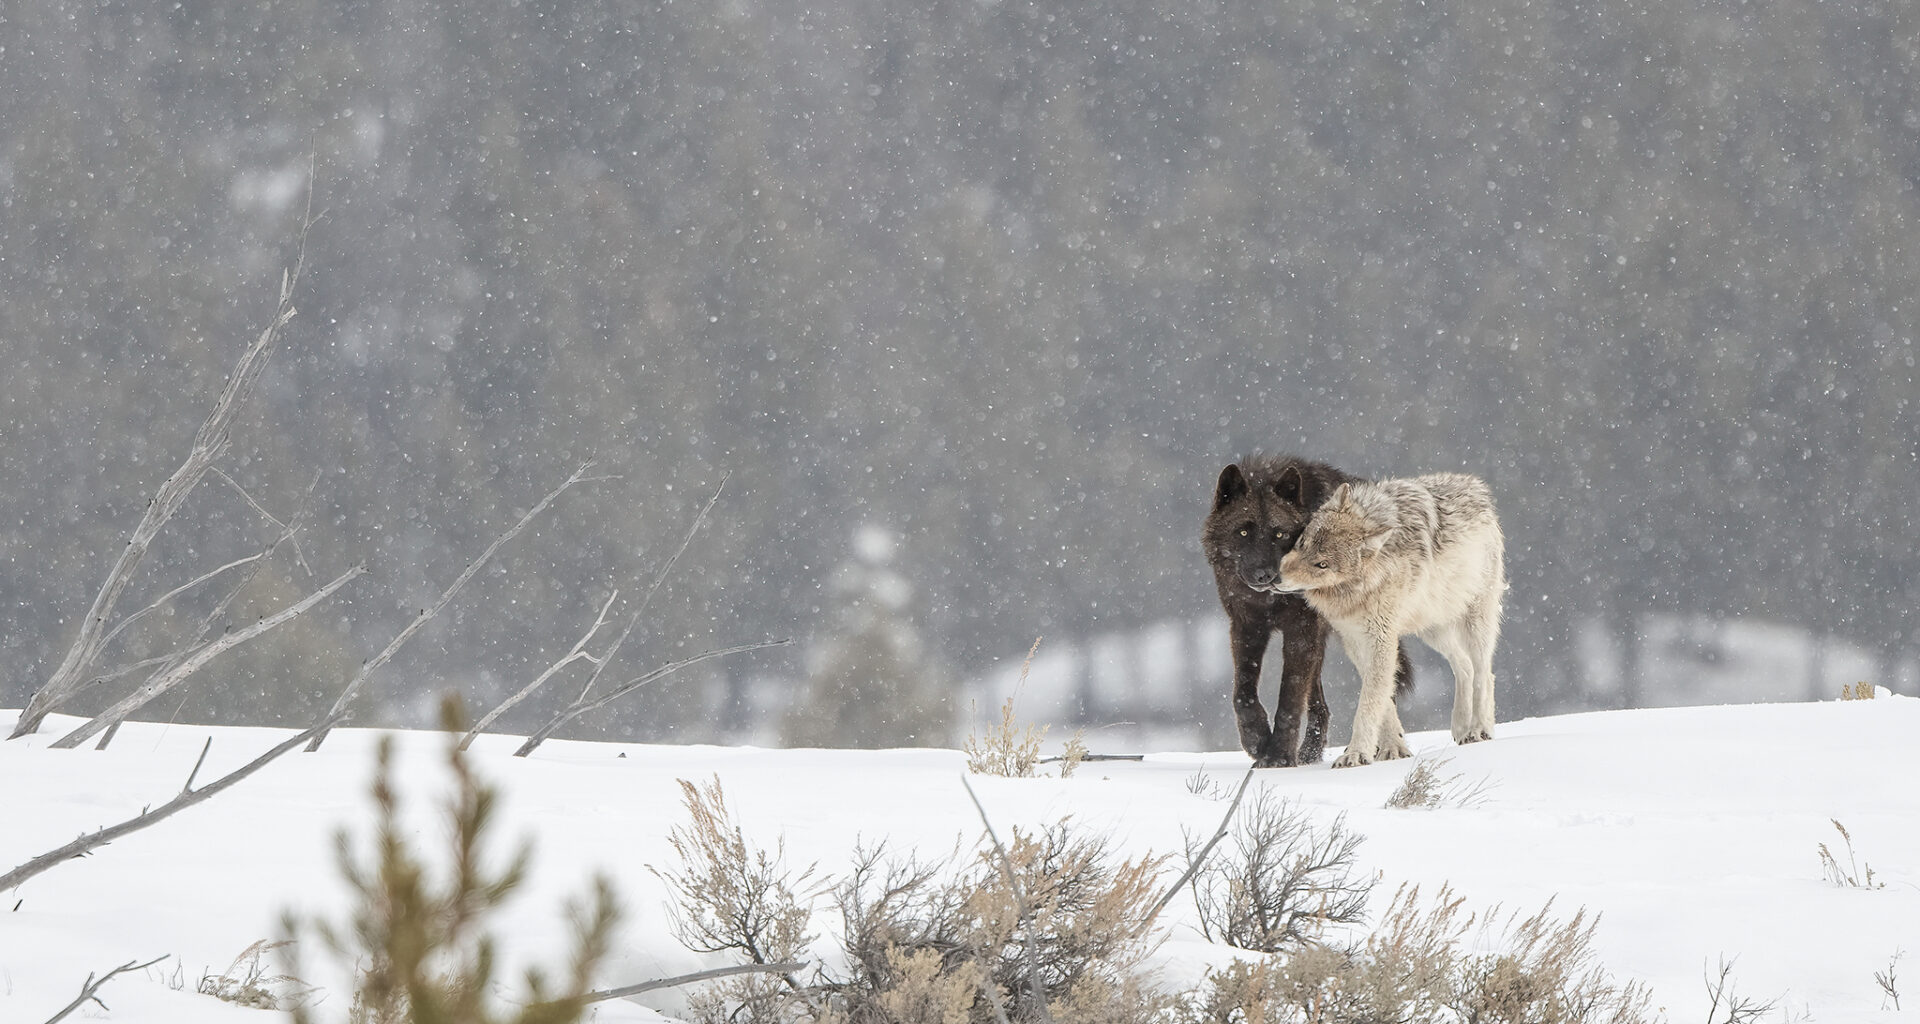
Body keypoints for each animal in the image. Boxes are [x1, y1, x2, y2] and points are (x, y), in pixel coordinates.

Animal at [1204, 456, 1413, 767]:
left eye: (1279, 534)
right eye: (1242, 531)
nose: (1266, 575)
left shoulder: (1301, 629)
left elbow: (1289, 698)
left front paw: (1278, 756)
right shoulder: (1246, 625)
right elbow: (1243, 692)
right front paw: (1257, 741)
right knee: (1320, 703)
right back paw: (1309, 753)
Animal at [1276, 473, 1505, 768]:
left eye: (1322, 565)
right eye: (1303, 542)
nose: (1275, 577)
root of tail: (1475, 485)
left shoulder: (1381, 639)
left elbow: (1368, 703)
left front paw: (1356, 754)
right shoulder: (1355, 640)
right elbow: (1383, 699)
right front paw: (1392, 747)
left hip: (1476, 624)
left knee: (1484, 672)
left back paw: (1479, 729)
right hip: (1432, 631)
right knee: (1464, 666)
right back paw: (1460, 728)